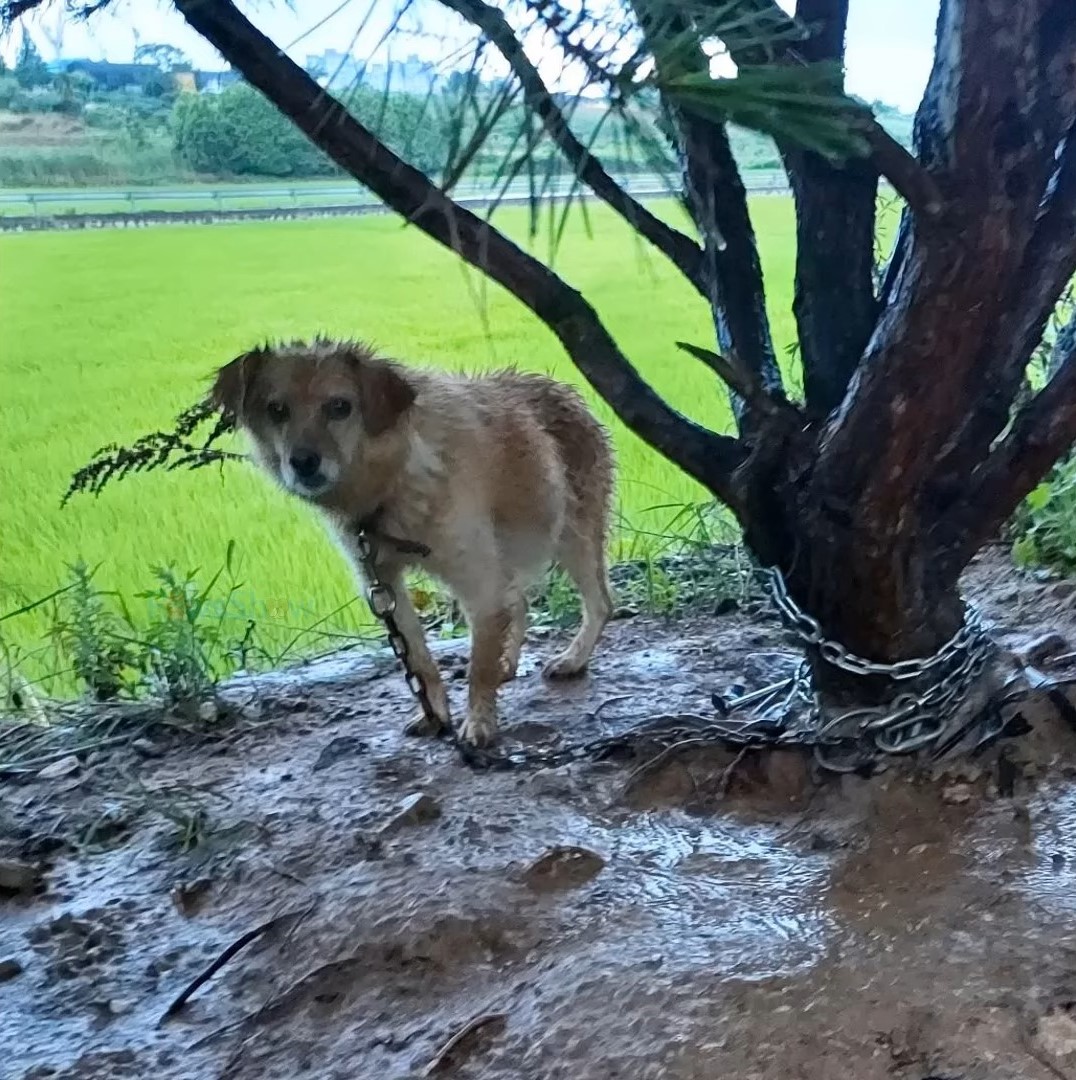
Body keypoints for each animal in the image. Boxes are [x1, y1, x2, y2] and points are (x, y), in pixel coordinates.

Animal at [210, 334, 613, 743]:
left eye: (340, 407)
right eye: (277, 410)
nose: (304, 462)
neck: (392, 483)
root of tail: (563, 390)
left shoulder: (476, 578)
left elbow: (478, 663)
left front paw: (479, 722)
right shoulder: (381, 583)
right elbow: (418, 657)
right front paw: (434, 713)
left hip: (574, 537)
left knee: (599, 604)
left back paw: (572, 659)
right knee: (518, 604)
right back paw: (508, 663)